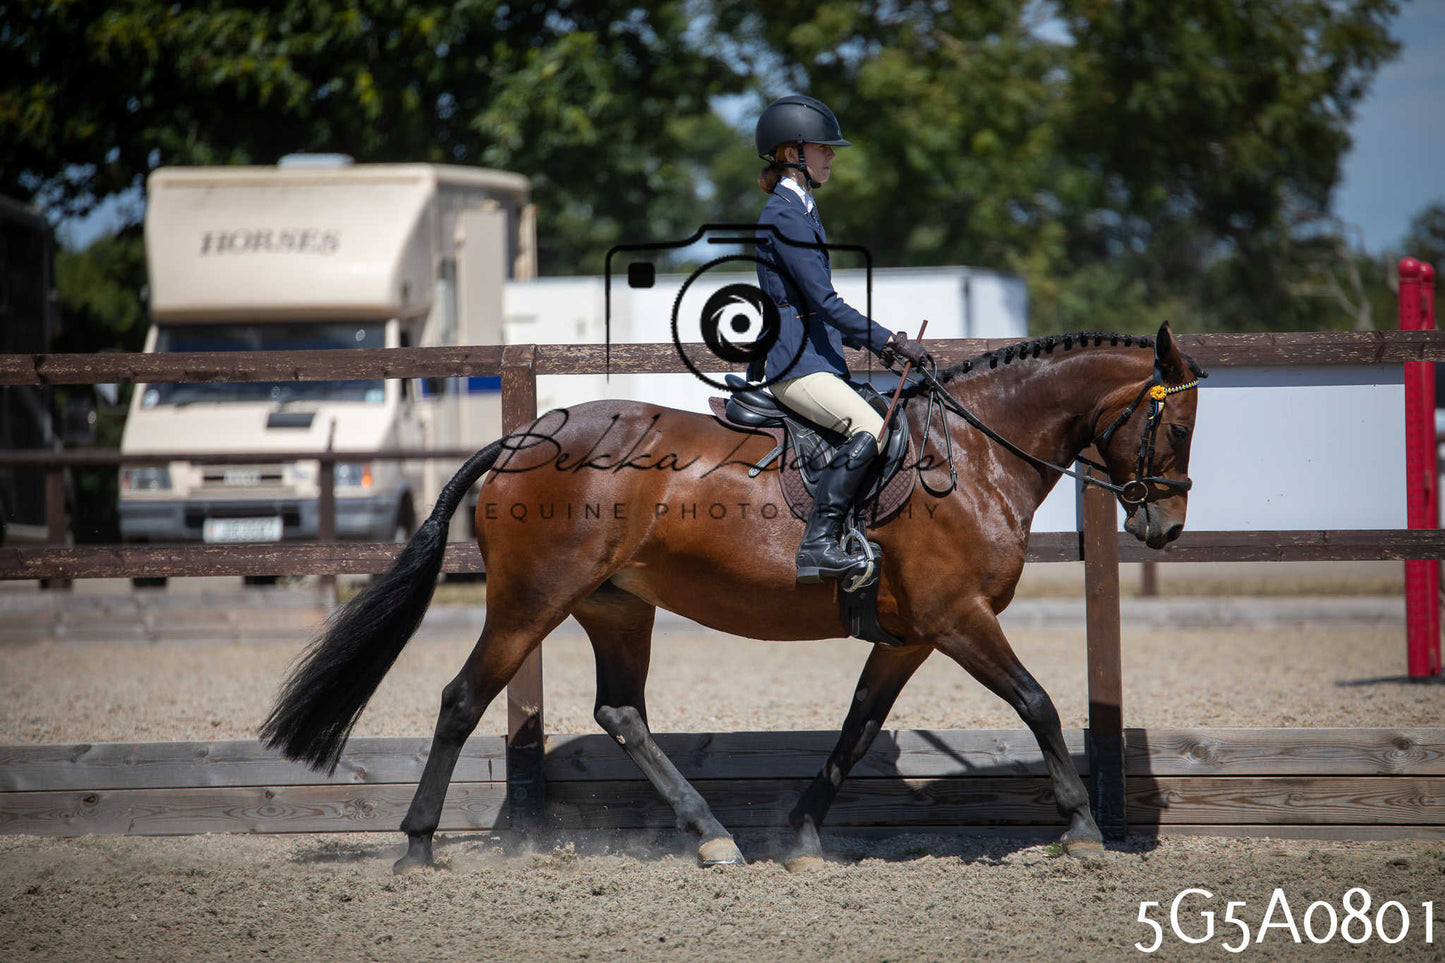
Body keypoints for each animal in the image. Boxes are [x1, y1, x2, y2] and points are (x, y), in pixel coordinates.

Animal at [261, 321, 1203, 872]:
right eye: (1180, 423)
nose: (1162, 526)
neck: (971, 454)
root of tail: (525, 434)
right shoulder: (956, 617)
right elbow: (1037, 702)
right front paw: (1082, 830)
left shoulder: (907, 635)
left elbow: (858, 727)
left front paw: (802, 836)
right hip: (530, 601)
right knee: (462, 698)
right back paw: (417, 847)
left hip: (616, 604)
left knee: (622, 712)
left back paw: (713, 835)